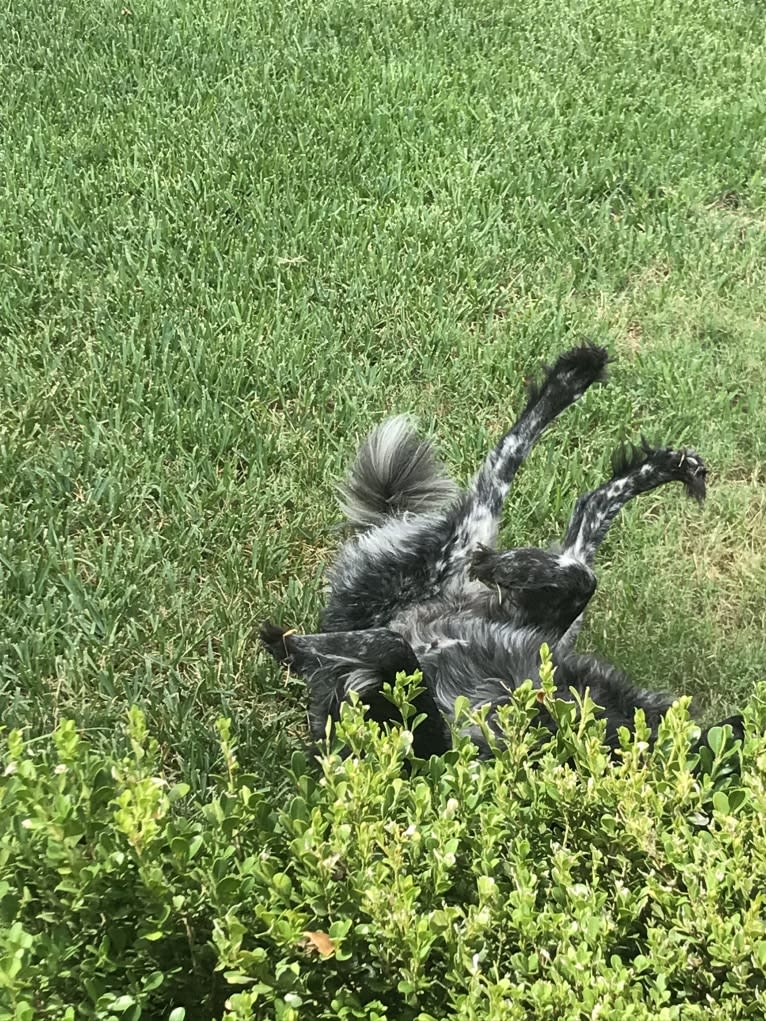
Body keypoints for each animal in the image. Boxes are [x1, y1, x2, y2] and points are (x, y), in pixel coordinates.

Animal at [263, 343, 743, 759]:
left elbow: (393, 648)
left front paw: (291, 645)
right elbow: (580, 576)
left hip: (454, 545)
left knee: (512, 484)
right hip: (484, 569)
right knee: (563, 508)